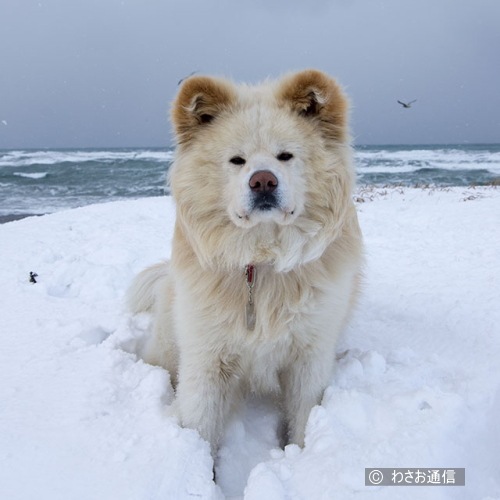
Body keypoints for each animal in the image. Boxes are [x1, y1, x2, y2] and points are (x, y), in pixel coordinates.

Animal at [128, 69, 364, 458]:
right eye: (237, 160)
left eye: (286, 156)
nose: (263, 181)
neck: (260, 261)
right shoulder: (206, 357)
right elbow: (200, 424)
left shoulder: (309, 358)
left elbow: (303, 420)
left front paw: (300, 455)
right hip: (169, 343)